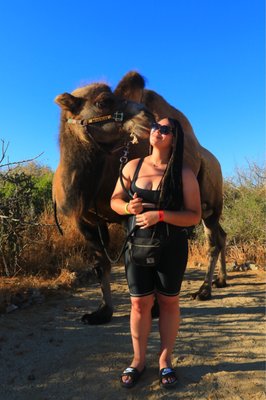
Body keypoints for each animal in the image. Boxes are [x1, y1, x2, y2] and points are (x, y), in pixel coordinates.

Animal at [53, 72, 227, 324]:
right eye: (103, 101)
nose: (148, 116)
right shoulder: (85, 221)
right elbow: (100, 265)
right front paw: (101, 312)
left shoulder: (129, 216)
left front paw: (152, 309)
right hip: (205, 210)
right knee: (221, 235)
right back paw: (221, 281)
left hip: (212, 200)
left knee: (213, 241)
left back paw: (204, 291)